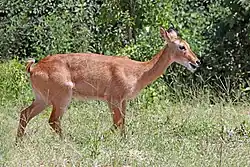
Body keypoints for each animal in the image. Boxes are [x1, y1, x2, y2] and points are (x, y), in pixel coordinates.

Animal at [16, 26, 200, 138]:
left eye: (188, 44)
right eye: (182, 46)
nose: (197, 62)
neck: (139, 72)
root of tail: (33, 68)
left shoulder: (123, 100)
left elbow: (123, 124)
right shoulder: (113, 98)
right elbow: (117, 124)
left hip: (43, 99)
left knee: (25, 114)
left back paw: (19, 143)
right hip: (62, 98)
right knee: (53, 120)